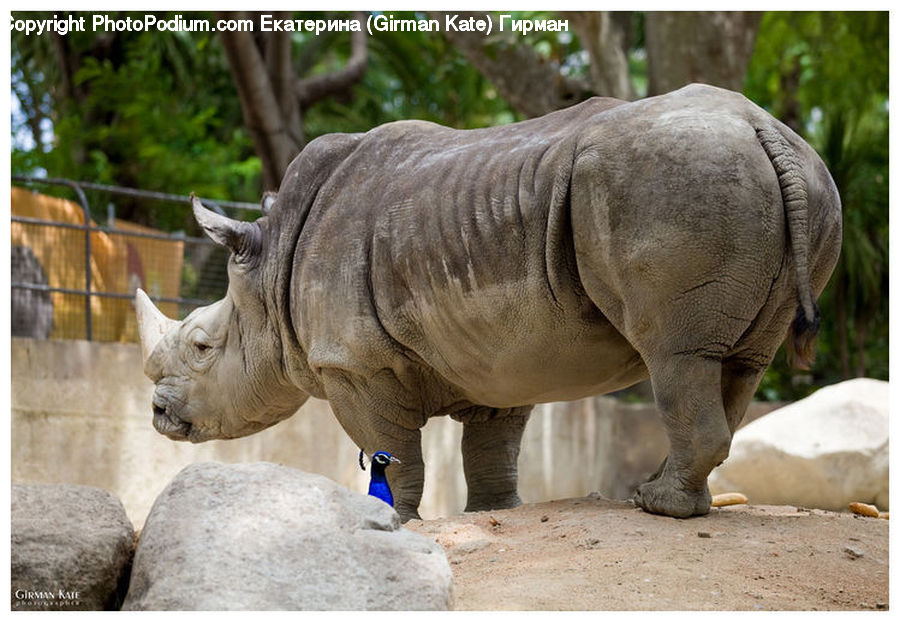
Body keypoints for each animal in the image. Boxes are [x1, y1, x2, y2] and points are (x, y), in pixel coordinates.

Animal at [136, 84, 841, 521]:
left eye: (202, 346)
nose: (158, 414)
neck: (272, 266)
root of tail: (764, 128)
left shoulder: (354, 362)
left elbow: (396, 448)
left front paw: (398, 520)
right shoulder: (505, 352)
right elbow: (492, 448)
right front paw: (495, 513)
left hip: (671, 179)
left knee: (677, 354)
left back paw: (658, 508)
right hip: (803, 184)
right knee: (740, 362)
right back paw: (669, 498)